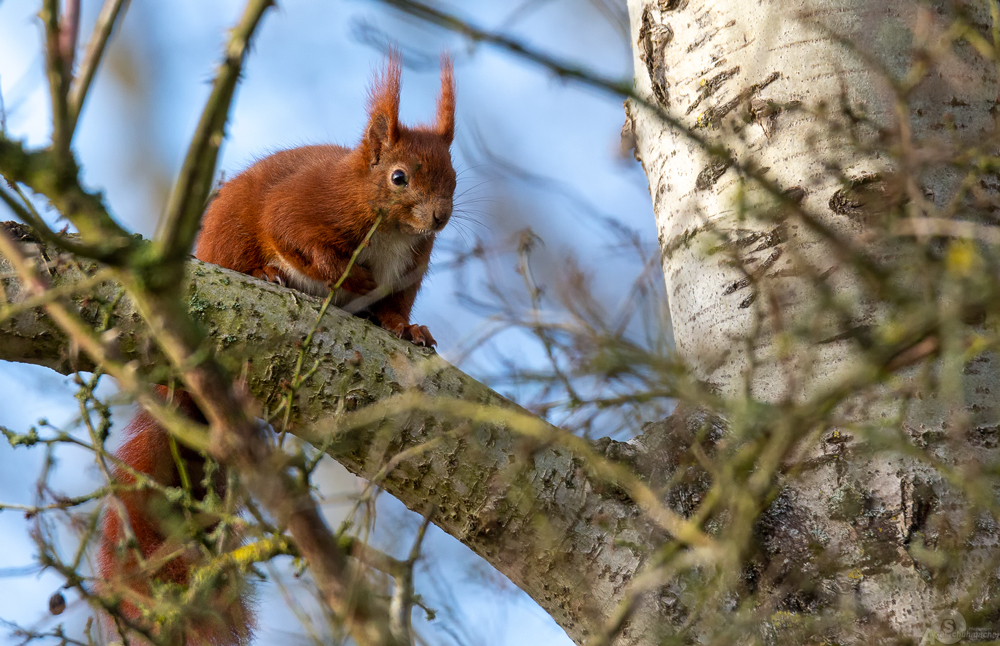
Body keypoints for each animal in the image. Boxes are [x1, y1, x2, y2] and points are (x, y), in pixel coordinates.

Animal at [97, 57, 458, 646]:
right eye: (399, 176)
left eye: (453, 176)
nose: (439, 218)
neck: (389, 226)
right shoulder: (307, 203)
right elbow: (292, 232)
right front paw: (344, 275)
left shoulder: (410, 268)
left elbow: (395, 308)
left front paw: (410, 328)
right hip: (230, 239)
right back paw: (266, 274)